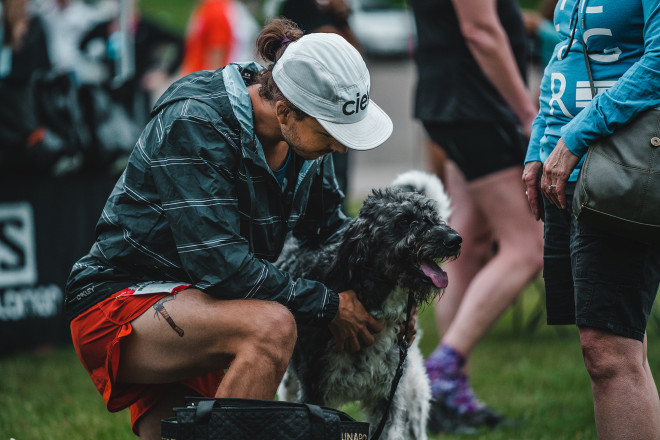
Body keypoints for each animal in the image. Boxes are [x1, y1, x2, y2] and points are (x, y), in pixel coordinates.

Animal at [276, 170, 462, 438]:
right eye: (403, 221)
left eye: (432, 216)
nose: (455, 239)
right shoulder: (314, 392)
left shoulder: (388, 401)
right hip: (290, 386)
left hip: (413, 398)